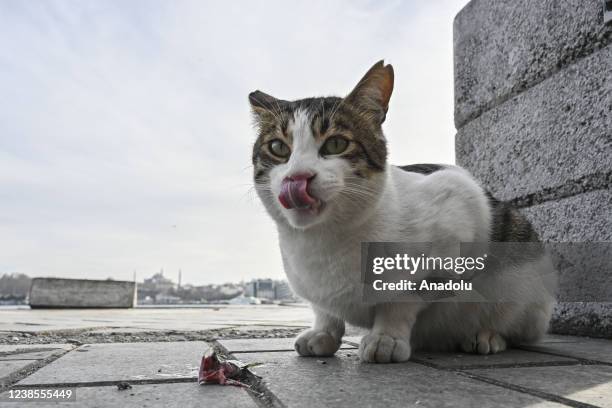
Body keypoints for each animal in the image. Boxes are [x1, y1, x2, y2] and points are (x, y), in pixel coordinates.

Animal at [247, 60, 556, 364]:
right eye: (278, 147)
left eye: (336, 144)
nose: (297, 177)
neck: (323, 241)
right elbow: (324, 310)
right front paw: (323, 332)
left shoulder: (459, 208)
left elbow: (403, 299)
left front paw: (386, 337)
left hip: (522, 280)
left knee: (517, 327)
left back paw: (488, 336)